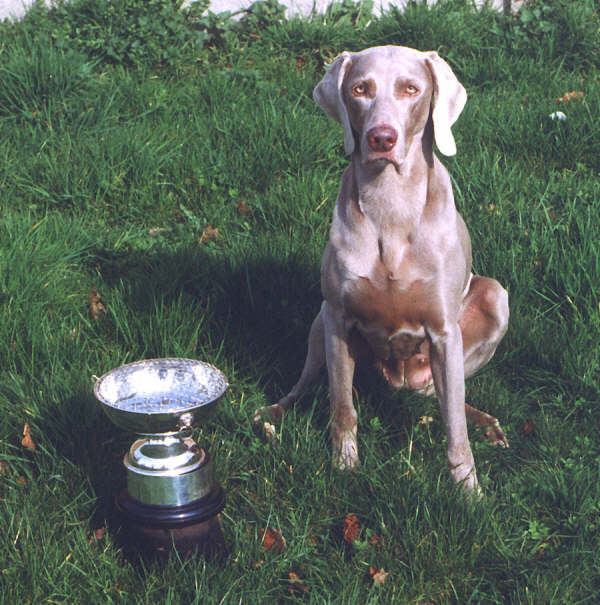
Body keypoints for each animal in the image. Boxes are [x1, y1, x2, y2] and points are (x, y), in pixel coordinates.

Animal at [253, 46, 506, 490]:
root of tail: (401, 383)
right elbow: (342, 407)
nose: (381, 138)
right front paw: (345, 466)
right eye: (360, 89)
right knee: (305, 383)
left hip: (493, 298)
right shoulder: (338, 319)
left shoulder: (444, 332)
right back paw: (272, 414)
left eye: (411, 89)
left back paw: (484, 423)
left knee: (446, 398)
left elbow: (454, 425)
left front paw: (468, 489)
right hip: (319, 321)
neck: (391, 204)